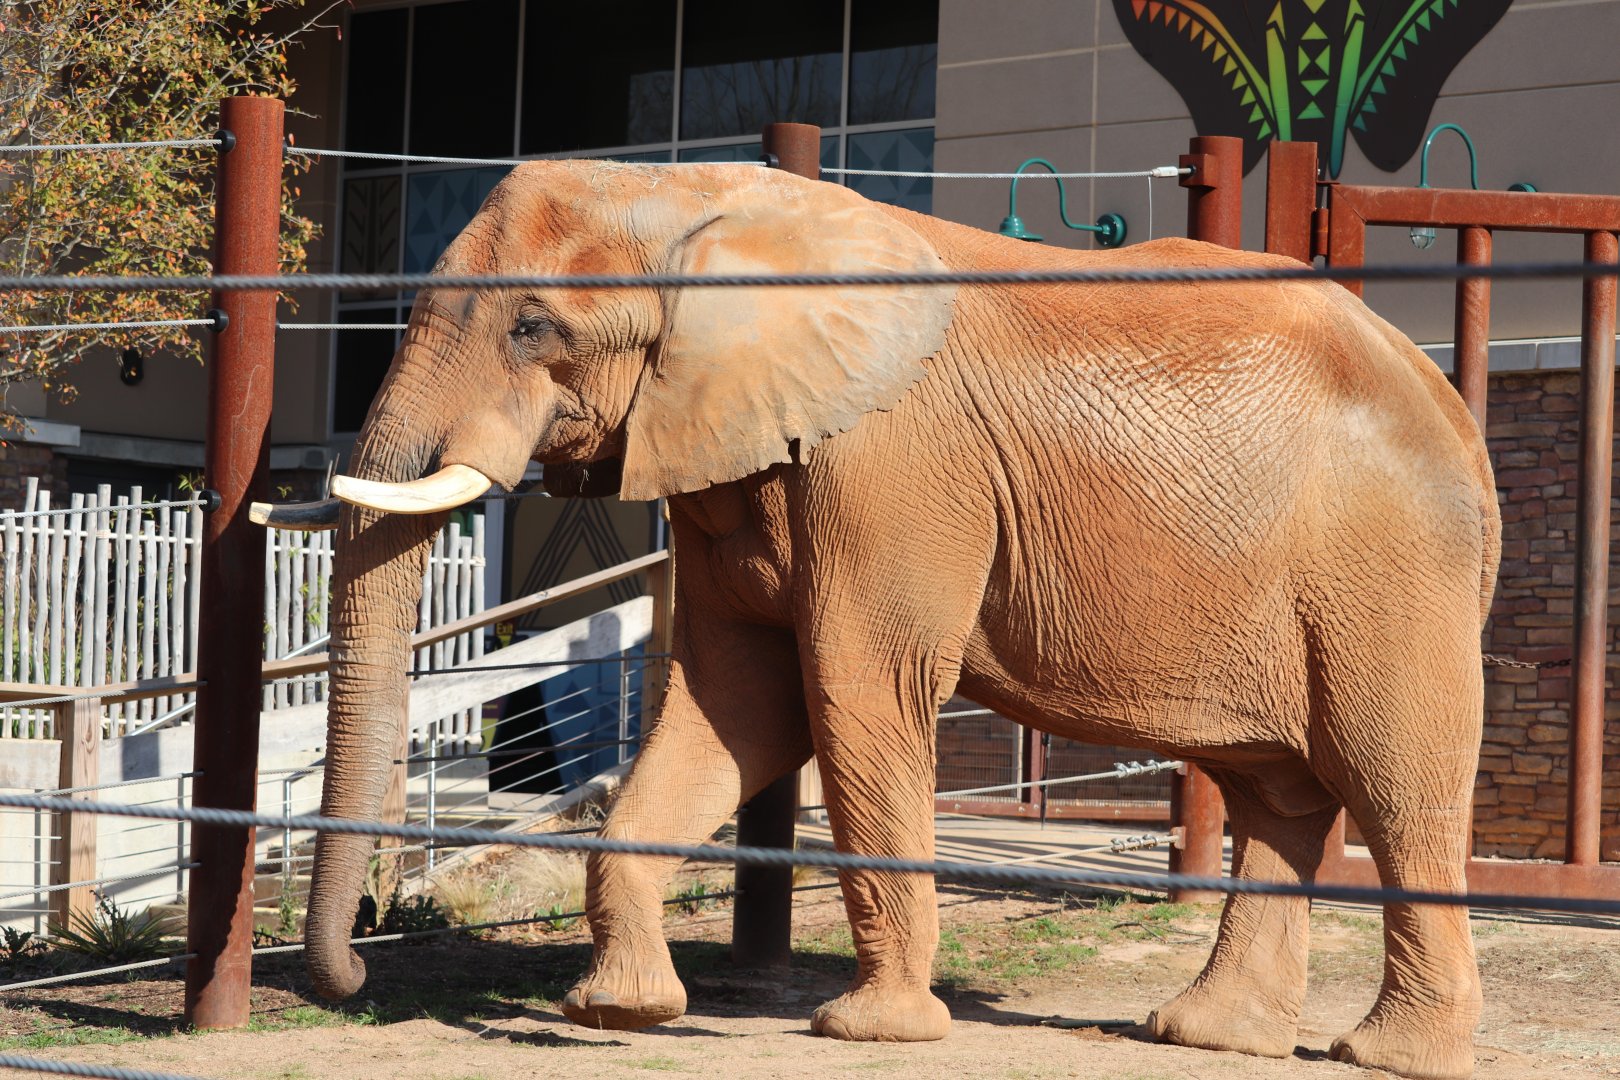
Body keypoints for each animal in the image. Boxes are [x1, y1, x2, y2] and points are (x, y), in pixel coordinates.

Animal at [265, 160, 1499, 1080]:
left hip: (1393, 567)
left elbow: (856, 690)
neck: (694, 198)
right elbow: (734, 704)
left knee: (1395, 783)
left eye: (531, 327)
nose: (358, 970)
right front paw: (618, 1014)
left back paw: (1393, 1054)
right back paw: (1203, 1036)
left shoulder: (890, 464)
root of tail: (1453, 407)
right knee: (1274, 794)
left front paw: (870, 1031)